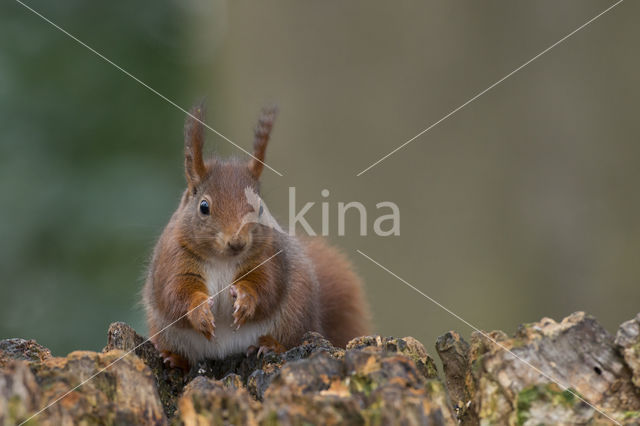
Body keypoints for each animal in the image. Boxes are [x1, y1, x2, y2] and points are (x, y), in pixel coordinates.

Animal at [141, 103, 370, 370]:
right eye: (204, 207)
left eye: (260, 208)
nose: (237, 242)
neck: (223, 260)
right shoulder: (174, 258)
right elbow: (176, 293)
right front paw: (200, 312)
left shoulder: (268, 256)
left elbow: (265, 287)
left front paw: (245, 301)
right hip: (164, 330)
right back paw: (174, 358)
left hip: (296, 315)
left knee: (291, 339)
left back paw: (270, 345)